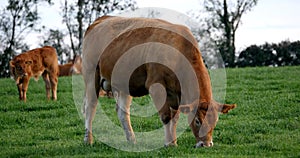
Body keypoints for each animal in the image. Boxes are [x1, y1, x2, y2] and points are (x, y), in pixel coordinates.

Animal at [82, 16, 237, 148]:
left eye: (215, 121)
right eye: (198, 121)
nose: (206, 144)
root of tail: (102, 19)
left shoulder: (176, 94)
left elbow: (175, 118)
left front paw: (173, 141)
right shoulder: (156, 86)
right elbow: (166, 116)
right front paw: (169, 143)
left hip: (123, 83)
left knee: (122, 112)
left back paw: (131, 140)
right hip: (91, 75)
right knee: (90, 107)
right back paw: (88, 140)